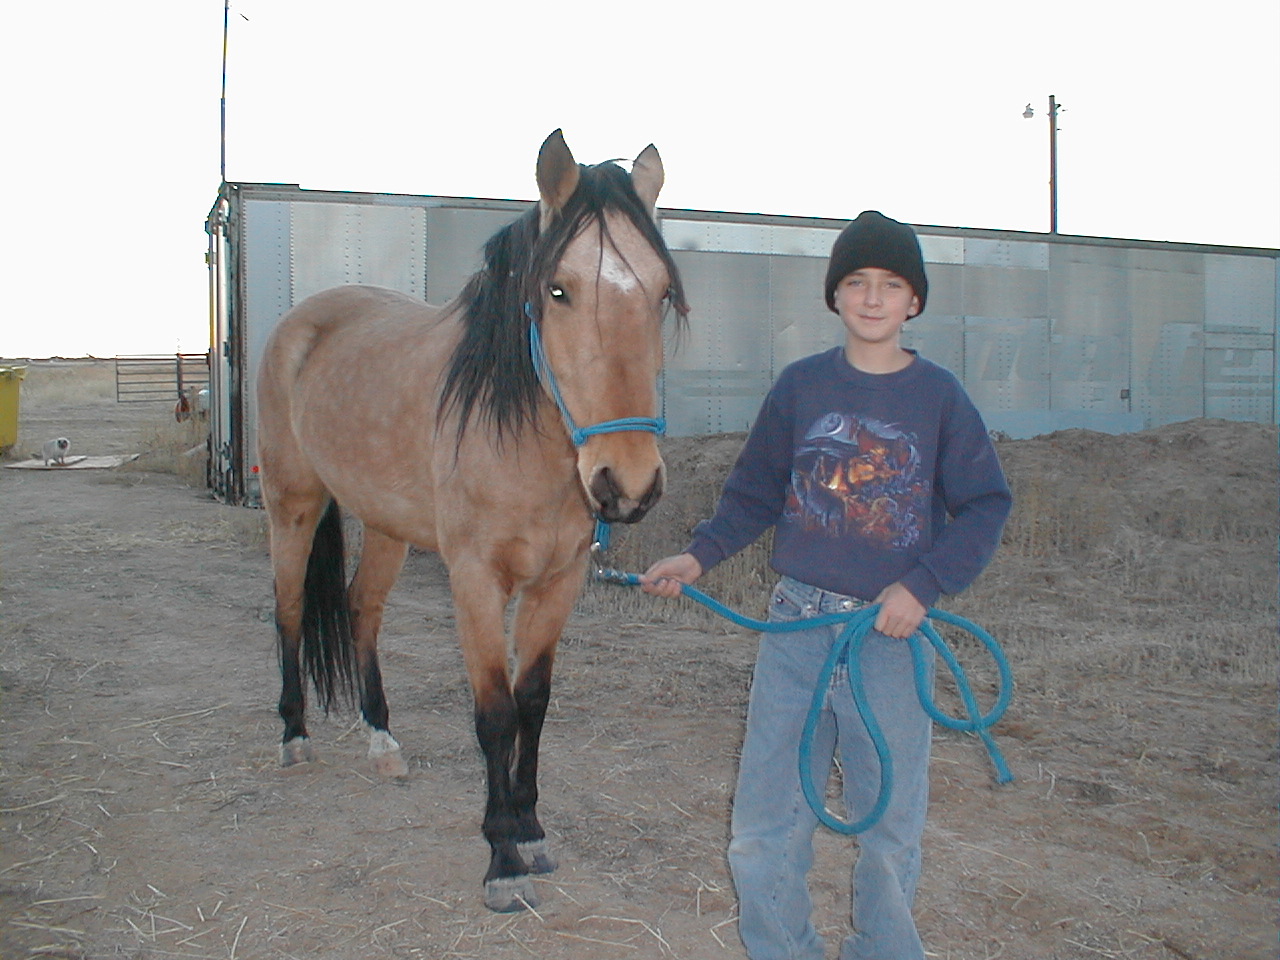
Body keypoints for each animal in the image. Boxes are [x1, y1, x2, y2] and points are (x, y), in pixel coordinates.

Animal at [257, 129, 691, 916]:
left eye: (662, 292)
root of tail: (305, 320)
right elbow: (494, 714)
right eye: (557, 290)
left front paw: (531, 828)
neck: (519, 437)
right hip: (291, 504)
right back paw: (295, 736)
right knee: (290, 607)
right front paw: (502, 859)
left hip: (388, 525)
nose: (627, 484)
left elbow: (533, 703)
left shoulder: (559, 581)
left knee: (361, 609)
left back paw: (382, 742)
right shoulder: (476, 582)